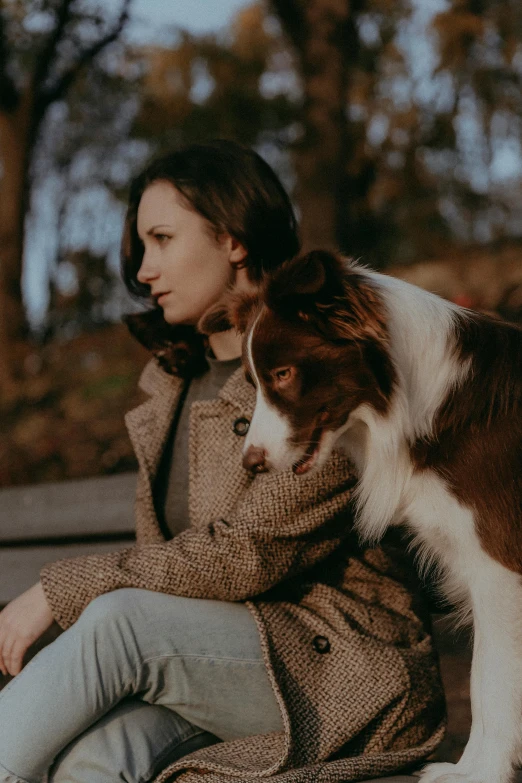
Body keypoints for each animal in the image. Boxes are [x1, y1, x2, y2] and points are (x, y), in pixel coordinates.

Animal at [199, 250, 520, 783]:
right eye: (253, 382)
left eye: (283, 374)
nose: (251, 463)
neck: (416, 401)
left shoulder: (499, 568)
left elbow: (489, 680)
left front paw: (478, 771)